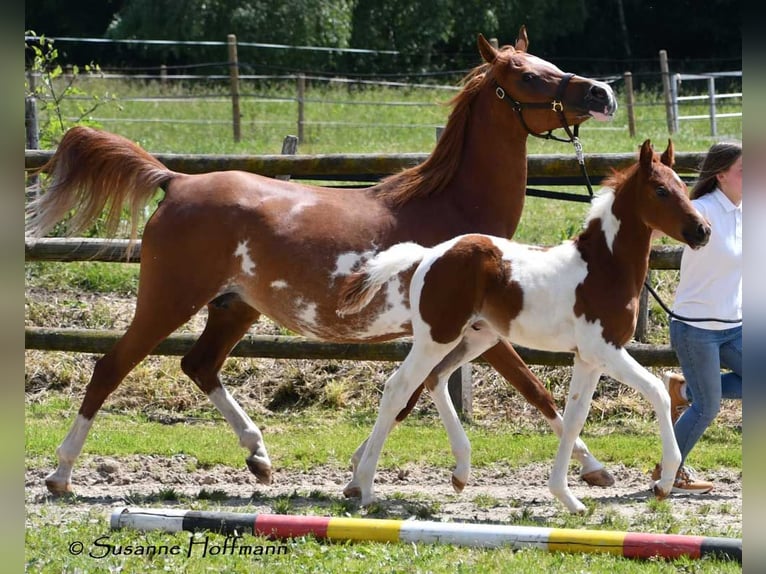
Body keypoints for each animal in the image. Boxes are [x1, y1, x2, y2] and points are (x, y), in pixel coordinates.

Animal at [25, 27, 618, 496]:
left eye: (549, 65)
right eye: (529, 77)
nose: (602, 92)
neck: (451, 209)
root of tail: (179, 181)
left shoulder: (457, 332)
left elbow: (420, 396)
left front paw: (362, 468)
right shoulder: (470, 327)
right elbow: (531, 388)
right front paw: (594, 468)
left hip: (235, 307)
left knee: (199, 365)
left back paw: (259, 457)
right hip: (170, 299)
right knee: (111, 366)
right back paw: (61, 474)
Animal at [336, 139, 711, 513]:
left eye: (683, 186)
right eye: (661, 190)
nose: (703, 230)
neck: (604, 267)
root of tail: (428, 255)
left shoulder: (588, 358)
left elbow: (574, 418)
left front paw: (568, 497)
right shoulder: (605, 349)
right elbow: (657, 391)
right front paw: (664, 482)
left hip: (476, 338)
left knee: (435, 379)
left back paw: (460, 471)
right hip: (437, 337)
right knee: (398, 388)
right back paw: (366, 488)